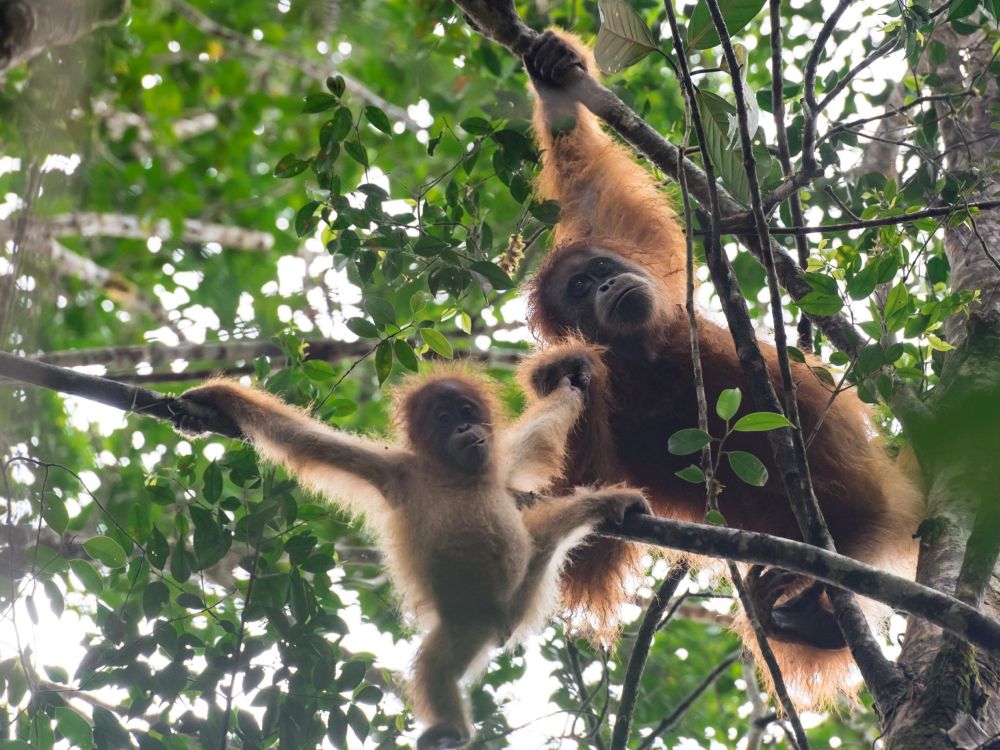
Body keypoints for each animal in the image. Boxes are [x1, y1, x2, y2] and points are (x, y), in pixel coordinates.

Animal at [172, 364, 649, 749]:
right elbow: (304, 440)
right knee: (437, 668)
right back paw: (454, 731)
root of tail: (504, 625)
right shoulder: (394, 471)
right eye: (444, 418)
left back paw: (608, 503)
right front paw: (213, 397)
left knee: (550, 530)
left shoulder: (501, 467)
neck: (456, 476)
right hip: (467, 626)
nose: (465, 428)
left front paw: (572, 388)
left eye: (467, 411)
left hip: (524, 588)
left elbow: (539, 435)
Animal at [519, 28, 925, 706]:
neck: (649, 357)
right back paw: (803, 625)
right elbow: (587, 546)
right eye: (578, 291)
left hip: (868, 509)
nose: (605, 287)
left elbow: (592, 188)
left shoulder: (651, 270)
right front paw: (565, 370)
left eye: (598, 271)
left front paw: (554, 76)